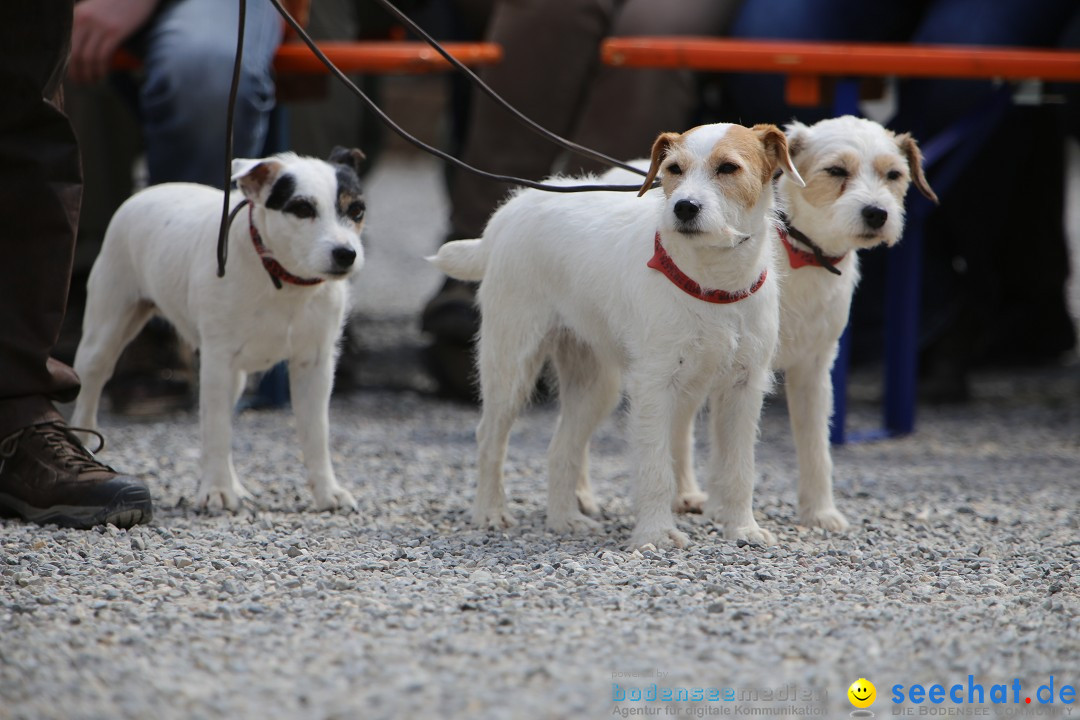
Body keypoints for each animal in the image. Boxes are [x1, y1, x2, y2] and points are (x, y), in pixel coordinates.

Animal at [72, 147, 367, 511]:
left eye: (356, 210)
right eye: (302, 208)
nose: (346, 254)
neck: (282, 277)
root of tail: (148, 191)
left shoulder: (315, 364)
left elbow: (316, 434)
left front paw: (328, 492)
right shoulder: (217, 360)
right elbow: (215, 430)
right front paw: (216, 490)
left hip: (235, 377)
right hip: (106, 330)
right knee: (90, 385)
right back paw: (83, 443)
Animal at [429, 120, 803, 548]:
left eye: (728, 168)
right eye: (673, 169)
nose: (684, 207)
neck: (712, 281)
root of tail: (511, 211)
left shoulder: (744, 388)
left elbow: (740, 468)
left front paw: (742, 528)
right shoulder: (655, 386)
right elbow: (656, 467)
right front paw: (655, 534)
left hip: (594, 385)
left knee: (561, 449)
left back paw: (564, 520)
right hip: (511, 367)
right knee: (490, 437)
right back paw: (490, 511)